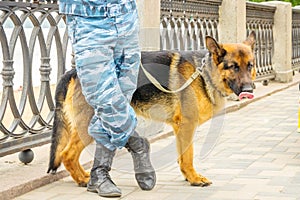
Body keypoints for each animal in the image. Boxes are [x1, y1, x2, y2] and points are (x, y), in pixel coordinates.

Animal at [47, 32, 255, 187]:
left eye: (250, 65)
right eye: (234, 67)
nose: (249, 89)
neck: (204, 74)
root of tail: (73, 71)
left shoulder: (180, 128)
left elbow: (182, 156)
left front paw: (187, 176)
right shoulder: (187, 125)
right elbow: (188, 156)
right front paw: (194, 178)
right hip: (88, 125)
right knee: (67, 154)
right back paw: (83, 179)